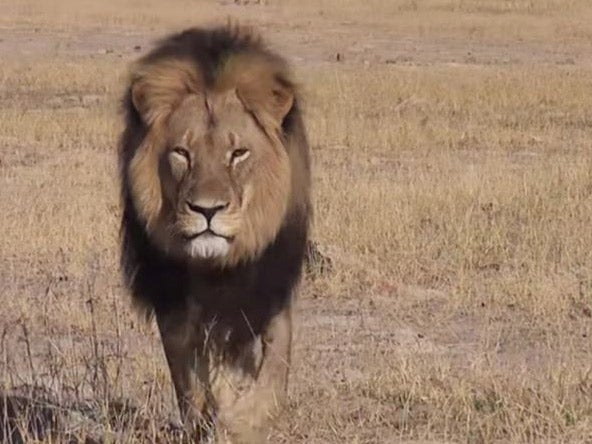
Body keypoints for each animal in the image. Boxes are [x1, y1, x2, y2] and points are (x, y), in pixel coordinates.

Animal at [115, 25, 310, 444]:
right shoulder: (173, 298)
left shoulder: (268, 287)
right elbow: (189, 379)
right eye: (181, 153)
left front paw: (244, 420)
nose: (207, 210)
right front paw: (210, 417)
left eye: (238, 153)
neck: (218, 268)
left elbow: (274, 371)